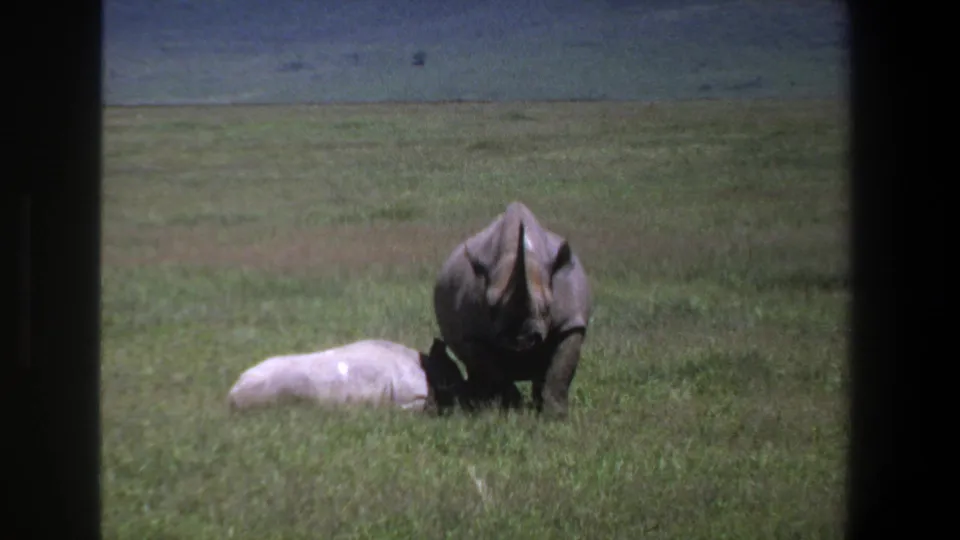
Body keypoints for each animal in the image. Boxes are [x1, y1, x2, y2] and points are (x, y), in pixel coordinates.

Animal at [433, 201, 592, 419]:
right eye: (491, 308)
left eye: (547, 309)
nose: (520, 341)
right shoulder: (471, 334)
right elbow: (491, 370)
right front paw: (511, 410)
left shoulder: (571, 322)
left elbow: (561, 369)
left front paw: (556, 416)